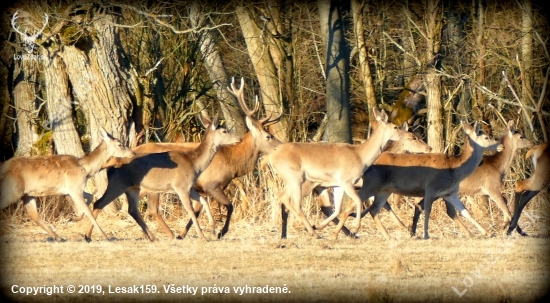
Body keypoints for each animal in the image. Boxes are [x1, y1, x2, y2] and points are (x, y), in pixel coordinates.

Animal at [0, 128, 134, 242]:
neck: (86, 170)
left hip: (27, 194)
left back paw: (58, 237)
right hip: (13, 189)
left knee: (34, 215)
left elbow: (89, 198)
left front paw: (72, 218)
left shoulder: (71, 189)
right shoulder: (74, 188)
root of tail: (4, 167)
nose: (132, 153)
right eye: (120, 144)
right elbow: (88, 211)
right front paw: (105, 236)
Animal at [83, 113, 243, 242]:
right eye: (224, 131)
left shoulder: (189, 187)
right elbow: (190, 210)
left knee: (132, 209)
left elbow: (203, 201)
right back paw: (88, 236)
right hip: (118, 184)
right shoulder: (180, 185)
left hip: (132, 187)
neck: (194, 164)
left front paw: (214, 229)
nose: (239, 138)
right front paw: (203, 237)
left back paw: (153, 237)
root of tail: (110, 165)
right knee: (99, 203)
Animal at [266, 107, 408, 240]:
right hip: (297, 178)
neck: (360, 156)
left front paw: (321, 226)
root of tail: (271, 157)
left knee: (283, 196)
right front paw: (355, 228)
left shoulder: (338, 185)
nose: (407, 134)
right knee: (293, 202)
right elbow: (357, 200)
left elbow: (338, 208)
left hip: (293, 180)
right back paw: (314, 234)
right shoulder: (346, 180)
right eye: (395, 127)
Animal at [280, 121, 436, 240]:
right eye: (413, 138)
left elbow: (381, 205)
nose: (429, 147)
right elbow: (380, 205)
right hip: (308, 183)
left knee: (322, 206)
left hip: (320, 186)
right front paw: (407, 230)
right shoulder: (369, 185)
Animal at [348, 121, 506, 240]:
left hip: (382, 190)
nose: (501, 145)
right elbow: (427, 210)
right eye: (486, 137)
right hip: (370, 186)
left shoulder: (450, 193)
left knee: (372, 207)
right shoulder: (431, 188)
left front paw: (486, 232)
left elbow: (465, 211)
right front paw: (425, 234)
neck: (454, 169)